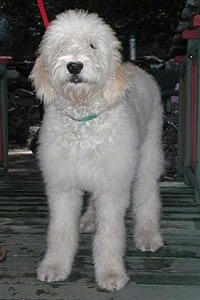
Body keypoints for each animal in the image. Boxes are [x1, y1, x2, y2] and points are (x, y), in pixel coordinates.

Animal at [30, 9, 164, 290]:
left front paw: (111, 273)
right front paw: (54, 267)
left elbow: (110, 235)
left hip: (148, 152)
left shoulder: (113, 186)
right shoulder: (63, 185)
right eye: (62, 45)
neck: (83, 123)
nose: (74, 66)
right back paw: (90, 219)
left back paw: (148, 235)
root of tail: (136, 67)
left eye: (92, 45)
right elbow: (60, 231)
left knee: (147, 194)